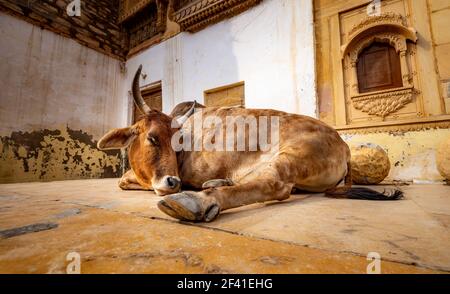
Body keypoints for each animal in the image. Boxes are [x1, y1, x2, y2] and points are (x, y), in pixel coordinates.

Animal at [97, 65, 400, 222]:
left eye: (178, 142)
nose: (173, 182)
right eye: (152, 137)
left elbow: (125, 181)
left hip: (292, 157)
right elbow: (124, 181)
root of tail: (344, 145)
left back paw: (196, 201)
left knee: (273, 185)